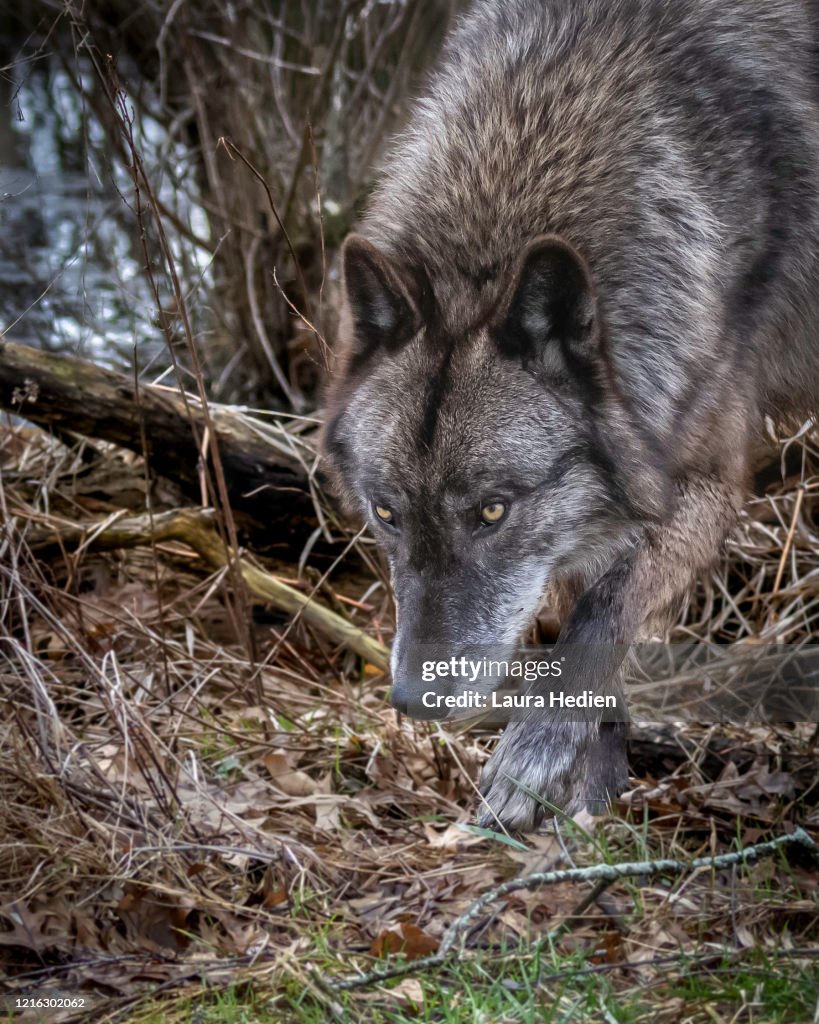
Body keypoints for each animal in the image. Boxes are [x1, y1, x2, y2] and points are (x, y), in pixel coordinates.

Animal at [321, 0, 819, 831]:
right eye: (386, 514)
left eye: (490, 511)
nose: (414, 700)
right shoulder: (569, 527)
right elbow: (571, 611)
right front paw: (595, 792)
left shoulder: (703, 482)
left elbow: (599, 617)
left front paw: (535, 758)